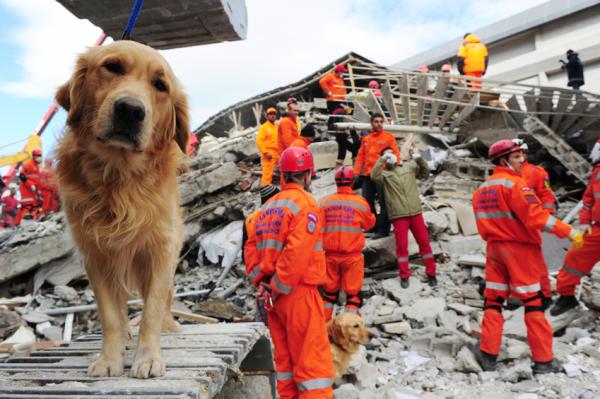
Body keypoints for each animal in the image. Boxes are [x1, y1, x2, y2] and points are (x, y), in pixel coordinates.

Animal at [55, 41, 190, 382]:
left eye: (160, 86)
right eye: (112, 67)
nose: (130, 109)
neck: (118, 179)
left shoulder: (160, 251)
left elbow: (152, 309)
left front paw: (149, 357)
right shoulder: (96, 256)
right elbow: (111, 316)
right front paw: (109, 359)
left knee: (165, 300)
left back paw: (169, 325)